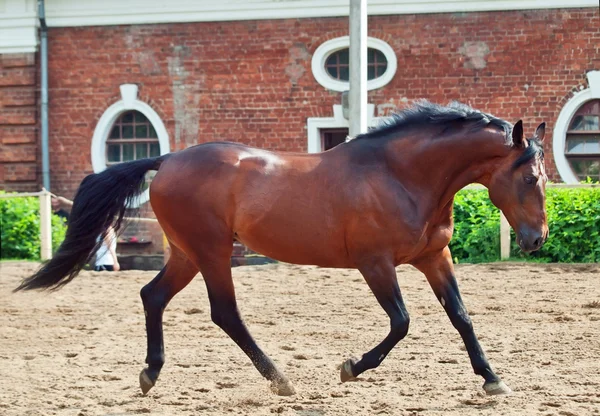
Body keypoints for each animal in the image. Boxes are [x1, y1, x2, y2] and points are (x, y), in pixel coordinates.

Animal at [14, 100, 548, 396]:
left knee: (153, 296)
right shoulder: (375, 264)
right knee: (224, 313)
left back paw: (151, 374)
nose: (537, 239)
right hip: (212, 253)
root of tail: (167, 159)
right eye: (528, 177)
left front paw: (493, 379)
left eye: (542, 177)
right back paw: (280, 380)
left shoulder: (433, 258)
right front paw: (350, 368)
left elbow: (461, 317)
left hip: (187, 254)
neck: (401, 175)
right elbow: (401, 322)